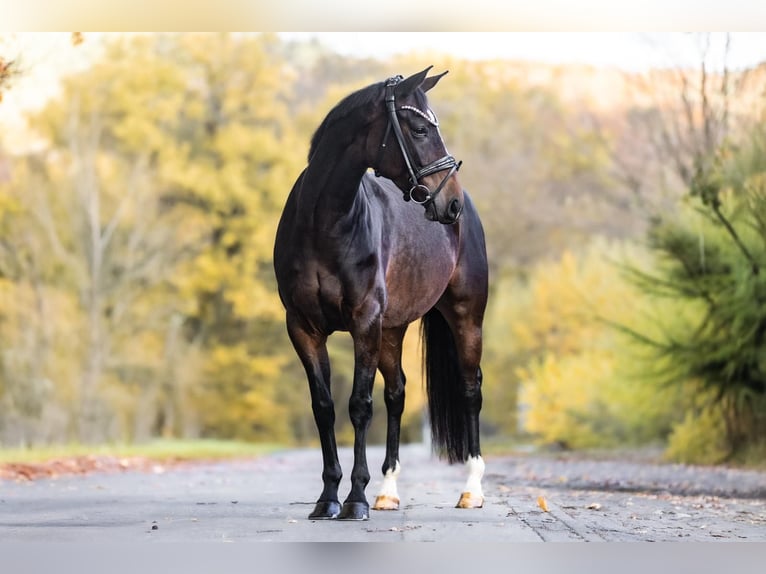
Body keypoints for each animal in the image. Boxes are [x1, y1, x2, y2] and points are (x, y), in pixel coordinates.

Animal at [273, 67, 488, 521]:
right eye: (421, 129)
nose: (451, 202)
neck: (325, 223)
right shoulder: (303, 329)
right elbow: (325, 407)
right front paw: (327, 498)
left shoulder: (363, 323)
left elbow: (359, 405)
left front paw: (354, 498)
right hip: (391, 330)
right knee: (397, 394)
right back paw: (388, 492)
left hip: (466, 317)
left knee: (470, 389)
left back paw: (472, 490)